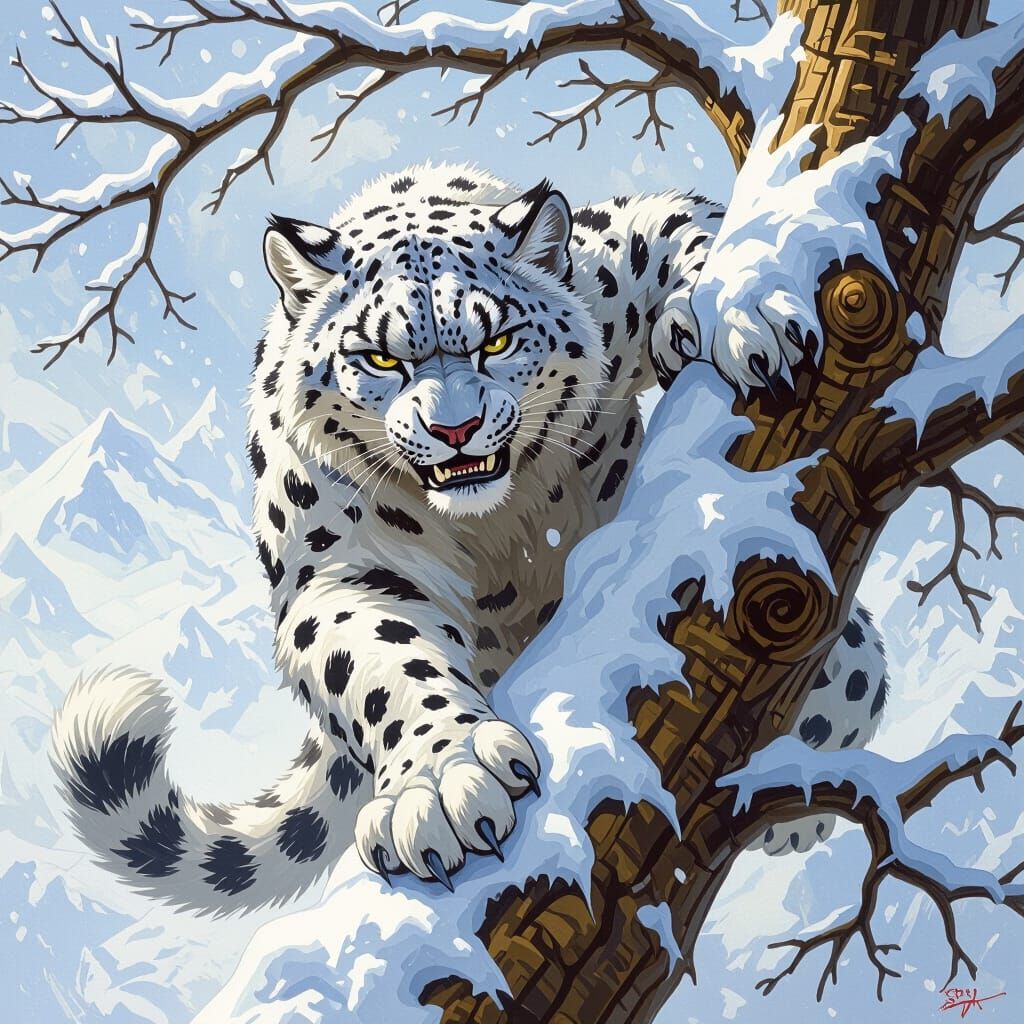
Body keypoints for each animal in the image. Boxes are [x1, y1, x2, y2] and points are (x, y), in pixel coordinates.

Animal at [51, 163, 888, 914]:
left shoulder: (616, 255)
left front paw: (737, 308)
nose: (455, 428)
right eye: (379, 357)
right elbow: (382, 659)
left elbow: (688, 221)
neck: (500, 526)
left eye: (497, 341)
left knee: (854, 675)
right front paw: (440, 786)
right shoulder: (340, 570)